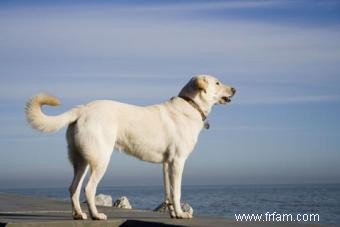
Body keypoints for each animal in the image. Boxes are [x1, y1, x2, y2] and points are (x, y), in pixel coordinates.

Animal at [25, 74, 235, 220]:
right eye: (217, 83)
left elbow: (168, 192)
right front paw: (181, 214)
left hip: (82, 162)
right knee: (88, 189)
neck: (191, 105)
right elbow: (177, 192)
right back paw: (96, 215)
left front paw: (174, 214)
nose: (234, 89)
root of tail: (83, 109)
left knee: (73, 189)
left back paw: (79, 215)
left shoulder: (166, 165)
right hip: (101, 160)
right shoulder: (177, 162)